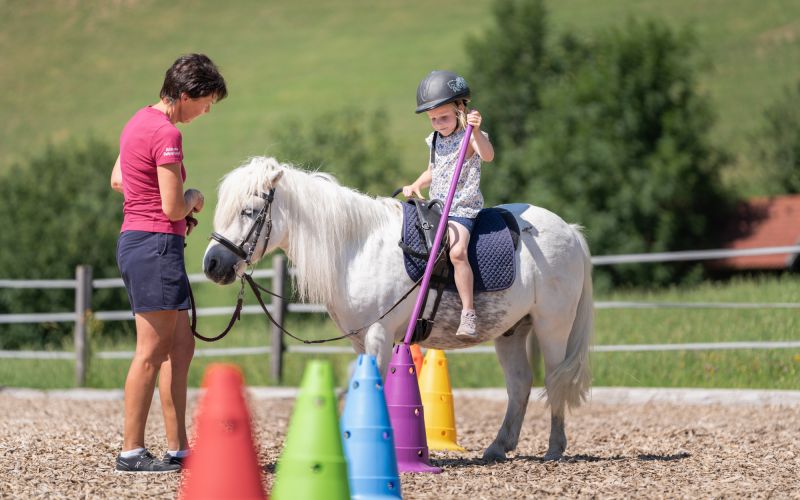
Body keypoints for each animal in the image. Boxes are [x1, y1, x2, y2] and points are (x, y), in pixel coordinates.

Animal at [202, 156, 593, 461]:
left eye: (249, 211)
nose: (212, 264)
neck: (357, 248)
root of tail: (570, 231)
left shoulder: (379, 335)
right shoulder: (360, 340)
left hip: (552, 326)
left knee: (555, 379)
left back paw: (555, 448)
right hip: (512, 331)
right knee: (520, 383)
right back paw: (499, 446)